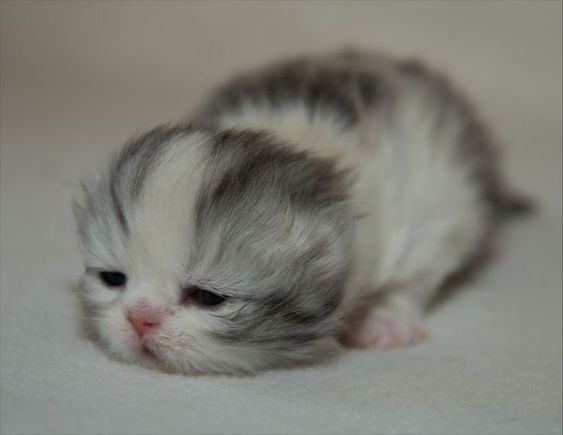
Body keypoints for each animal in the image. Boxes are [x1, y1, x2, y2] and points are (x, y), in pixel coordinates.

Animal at [72, 48, 532, 374]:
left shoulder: (432, 209)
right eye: (113, 278)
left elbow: (415, 275)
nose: (139, 319)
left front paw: (385, 320)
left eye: (209, 297)